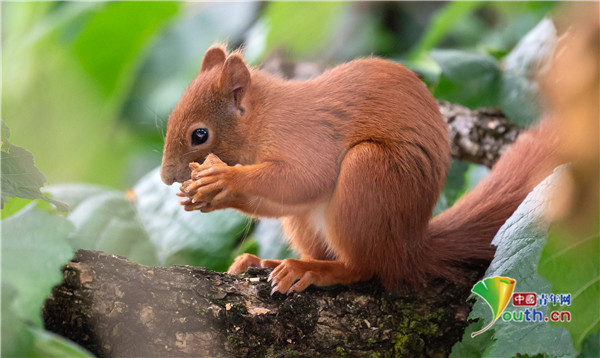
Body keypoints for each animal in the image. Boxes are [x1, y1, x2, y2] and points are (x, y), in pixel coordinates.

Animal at [161, 44, 556, 296]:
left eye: (200, 135)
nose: (165, 177)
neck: (263, 118)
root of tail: (408, 248)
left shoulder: (306, 138)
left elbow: (306, 179)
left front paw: (222, 180)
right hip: (308, 221)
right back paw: (268, 261)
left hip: (368, 175)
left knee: (364, 268)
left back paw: (315, 270)